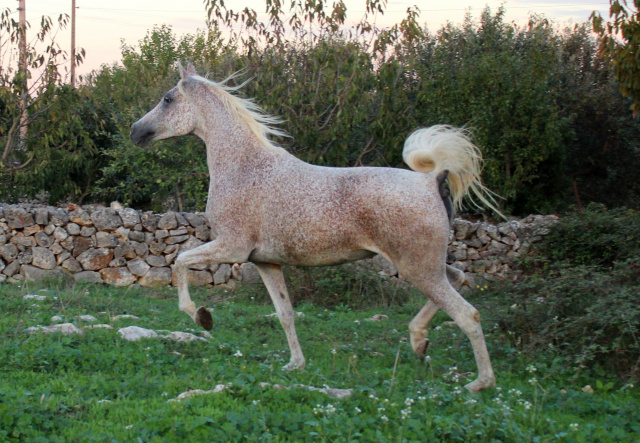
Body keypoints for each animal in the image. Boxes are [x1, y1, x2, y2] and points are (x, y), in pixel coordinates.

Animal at [131, 61, 500, 392]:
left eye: (167, 99)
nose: (135, 131)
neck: (245, 167)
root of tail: (431, 180)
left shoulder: (231, 247)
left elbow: (180, 263)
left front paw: (200, 316)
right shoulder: (265, 262)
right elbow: (285, 313)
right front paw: (295, 364)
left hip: (417, 268)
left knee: (468, 314)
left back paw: (479, 383)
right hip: (424, 266)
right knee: (458, 277)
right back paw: (419, 341)